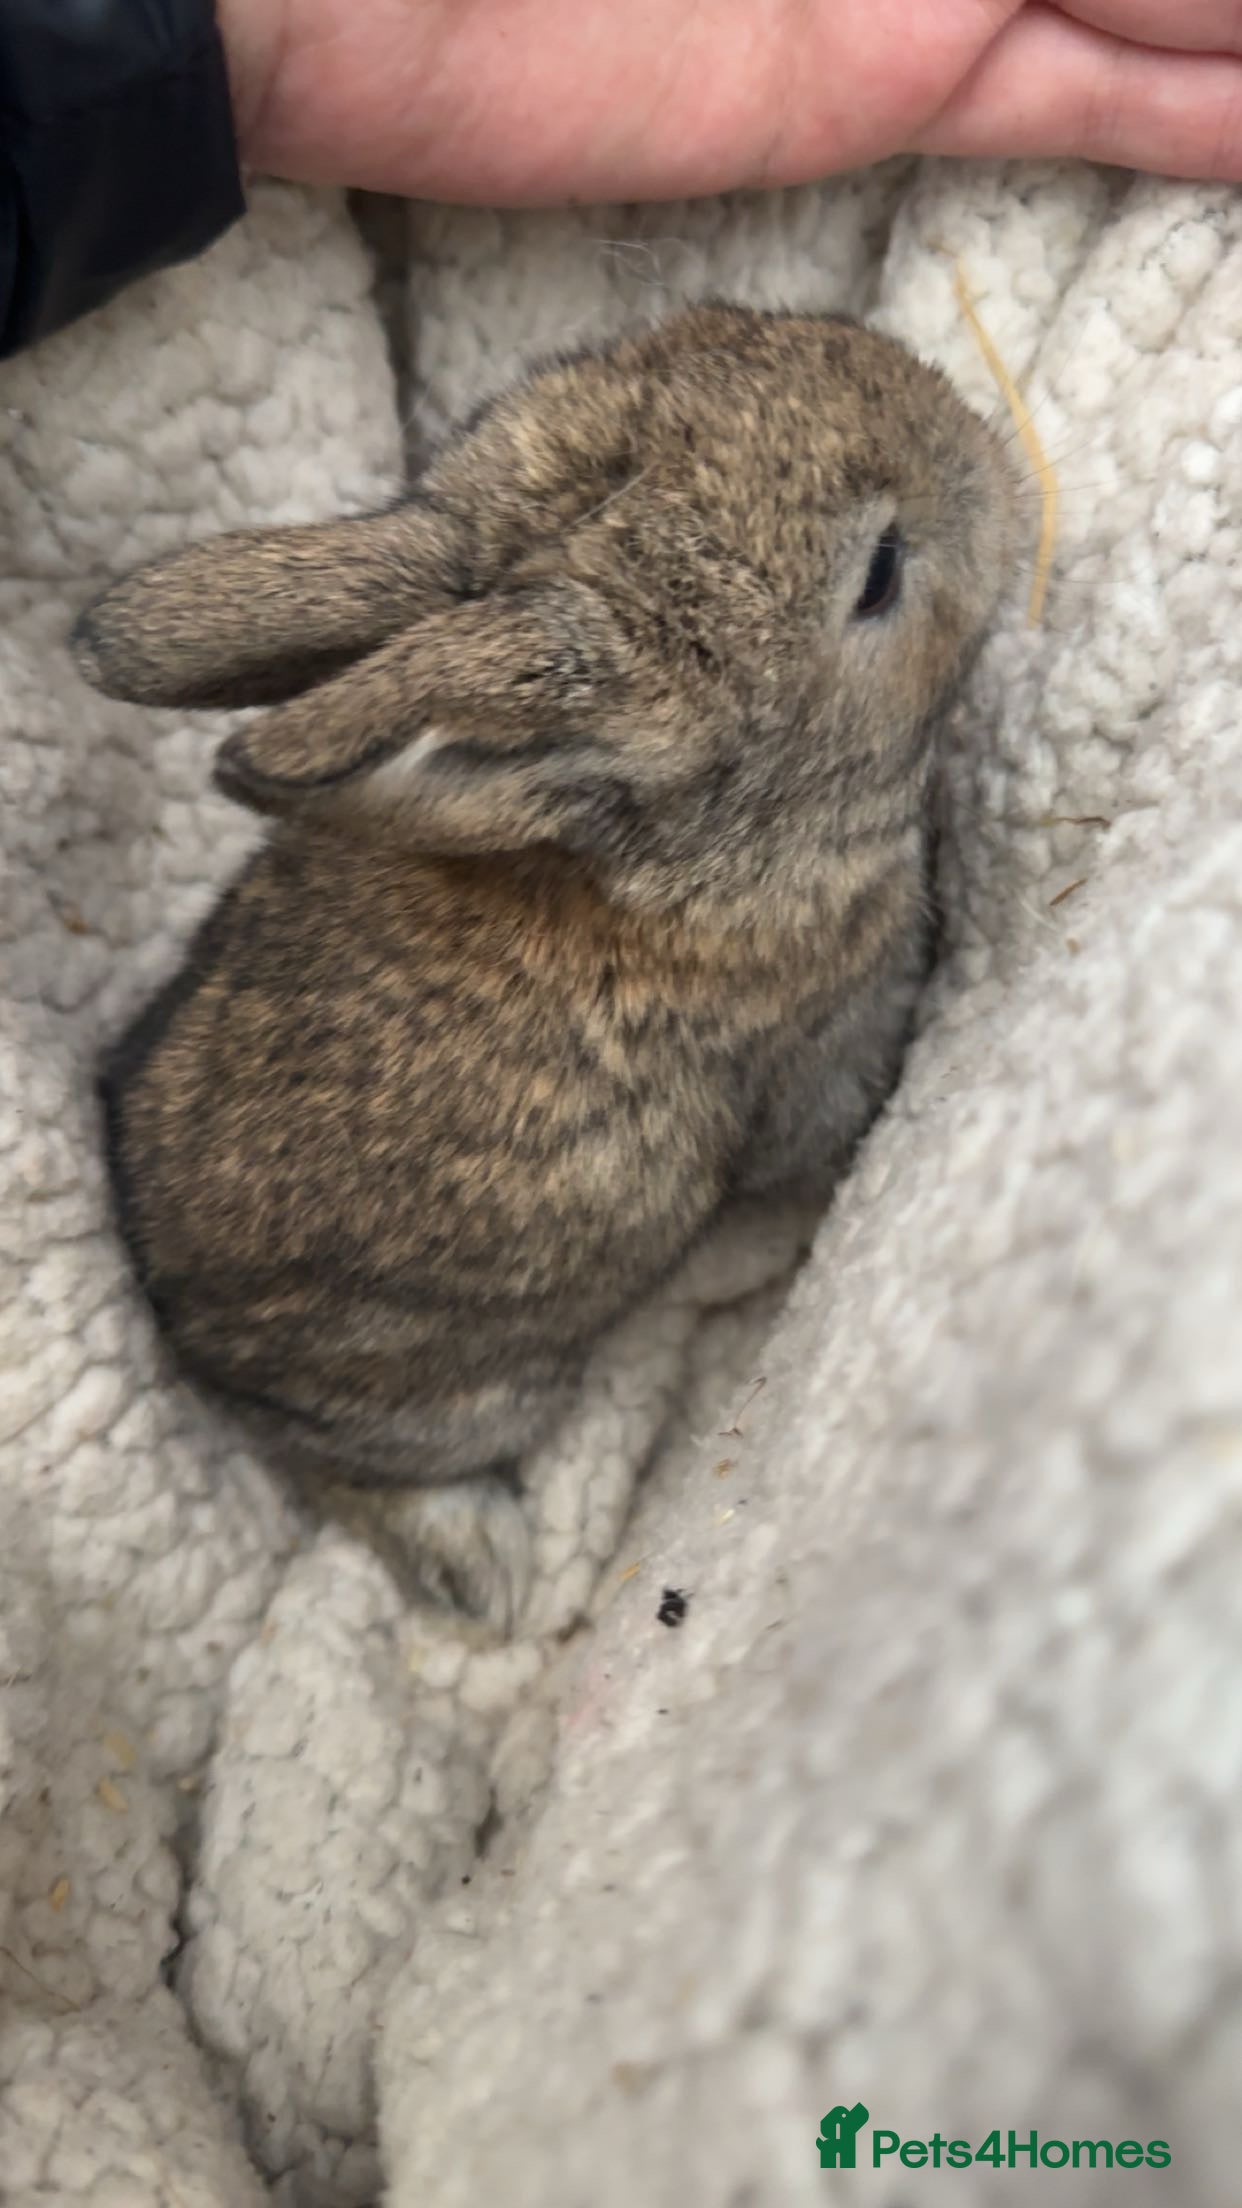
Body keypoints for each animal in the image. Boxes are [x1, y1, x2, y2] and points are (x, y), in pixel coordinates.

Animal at [74, 301, 1021, 1631]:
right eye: (880, 572)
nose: (980, 443)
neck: (696, 848)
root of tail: (174, 1313)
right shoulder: (813, 1058)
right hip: (461, 1396)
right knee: (337, 1470)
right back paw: (480, 1565)